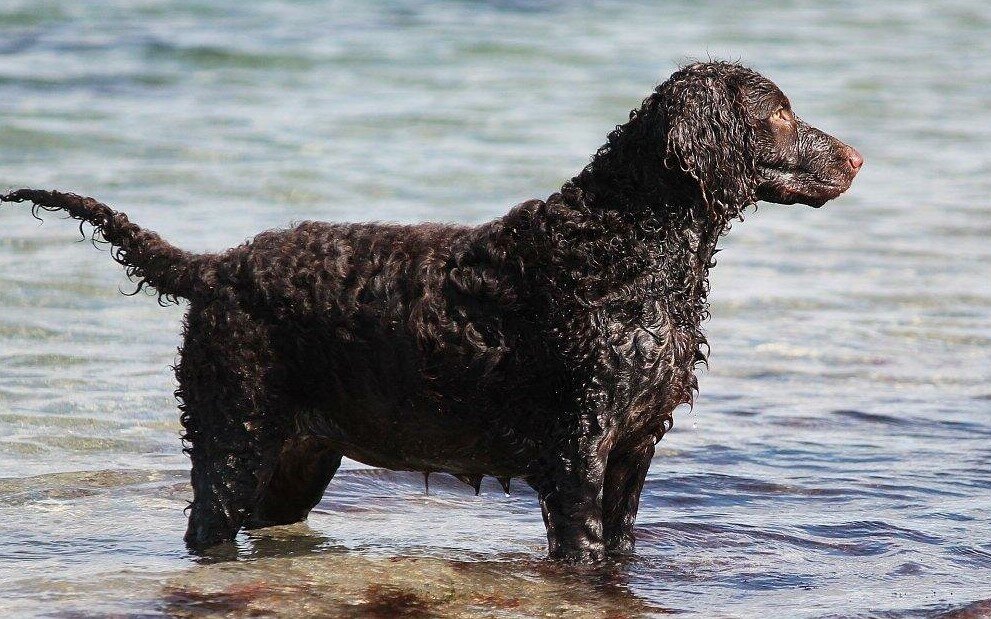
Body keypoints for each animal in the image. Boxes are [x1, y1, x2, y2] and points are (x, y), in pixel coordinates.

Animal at [1, 61, 860, 560]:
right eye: (777, 115)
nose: (856, 156)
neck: (630, 241)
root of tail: (216, 266)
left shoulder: (634, 448)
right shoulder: (576, 454)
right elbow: (581, 552)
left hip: (295, 460)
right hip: (233, 439)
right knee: (206, 528)